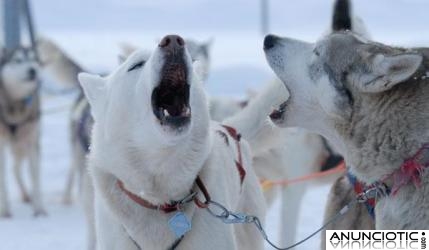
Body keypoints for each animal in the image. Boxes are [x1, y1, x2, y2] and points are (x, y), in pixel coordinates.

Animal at [0, 47, 45, 217]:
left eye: (33, 59)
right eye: (18, 60)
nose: (32, 70)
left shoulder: (32, 142)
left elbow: (35, 177)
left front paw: (39, 211)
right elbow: (2, 179)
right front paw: (5, 211)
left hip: (22, 145)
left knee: (16, 168)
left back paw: (27, 195)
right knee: (14, 168)